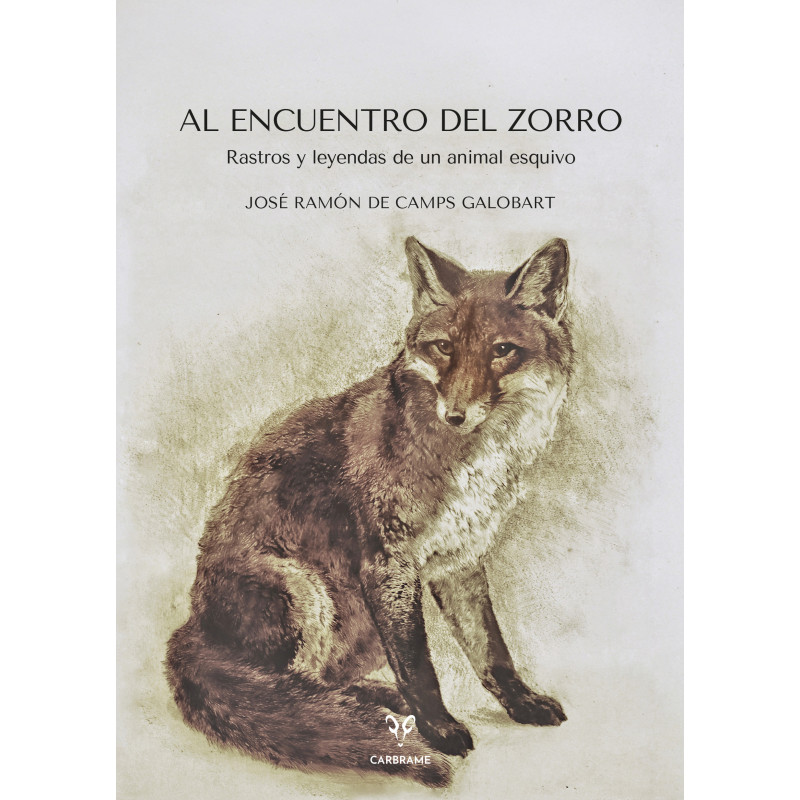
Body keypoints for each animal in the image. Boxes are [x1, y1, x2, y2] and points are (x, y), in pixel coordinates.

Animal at [166, 236, 574, 787]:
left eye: (502, 351)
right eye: (444, 347)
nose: (456, 414)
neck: (472, 463)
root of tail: (192, 629)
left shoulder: (459, 561)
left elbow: (491, 650)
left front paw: (520, 702)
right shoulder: (388, 563)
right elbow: (421, 669)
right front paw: (439, 728)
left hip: (361, 619)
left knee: (319, 684)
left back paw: (378, 701)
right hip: (306, 591)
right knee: (287, 691)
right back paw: (369, 713)